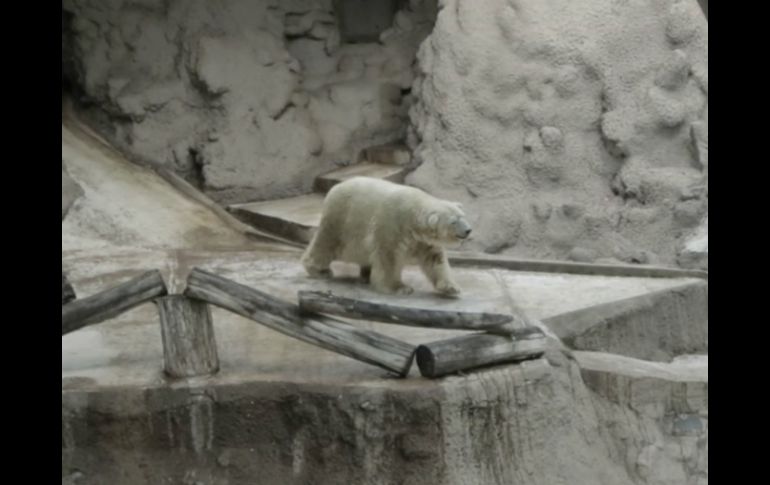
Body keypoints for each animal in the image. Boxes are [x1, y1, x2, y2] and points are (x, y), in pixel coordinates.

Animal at [300, 176, 472, 296]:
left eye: (463, 216)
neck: (413, 216)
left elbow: (435, 259)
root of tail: (334, 188)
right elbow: (388, 256)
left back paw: (365, 275)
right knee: (326, 244)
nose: (468, 230)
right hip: (340, 219)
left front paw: (451, 288)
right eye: (453, 221)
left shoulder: (423, 241)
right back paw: (320, 270)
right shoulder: (391, 225)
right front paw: (400, 288)